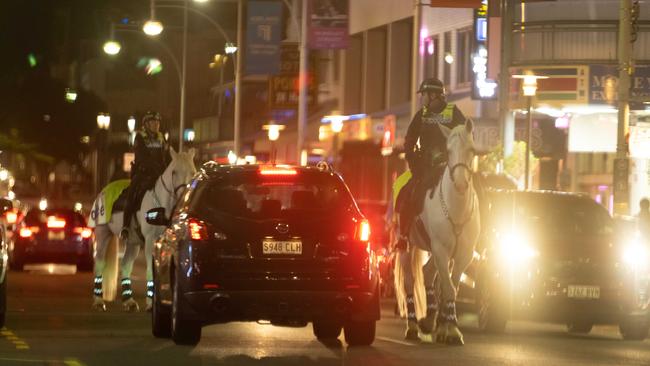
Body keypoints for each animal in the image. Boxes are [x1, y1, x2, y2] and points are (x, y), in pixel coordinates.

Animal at [92, 148, 195, 312]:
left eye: (193, 172)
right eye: (174, 172)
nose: (183, 195)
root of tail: (103, 190)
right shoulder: (150, 241)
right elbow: (150, 271)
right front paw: (150, 303)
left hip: (132, 243)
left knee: (125, 265)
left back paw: (129, 302)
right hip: (103, 234)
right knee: (100, 264)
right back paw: (98, 301)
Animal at [392, 121, 478, 346]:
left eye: (472, 150)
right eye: (448, 151)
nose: (460, 184)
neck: (455, 208)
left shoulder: (463, 254)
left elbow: (452, 287)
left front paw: (447, 327)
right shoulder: (441, 249)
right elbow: (447, 287)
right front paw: (452, 330)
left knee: (428, 273)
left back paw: (430, 321)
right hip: (407, 246)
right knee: (410, 282)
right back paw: (413, 326)